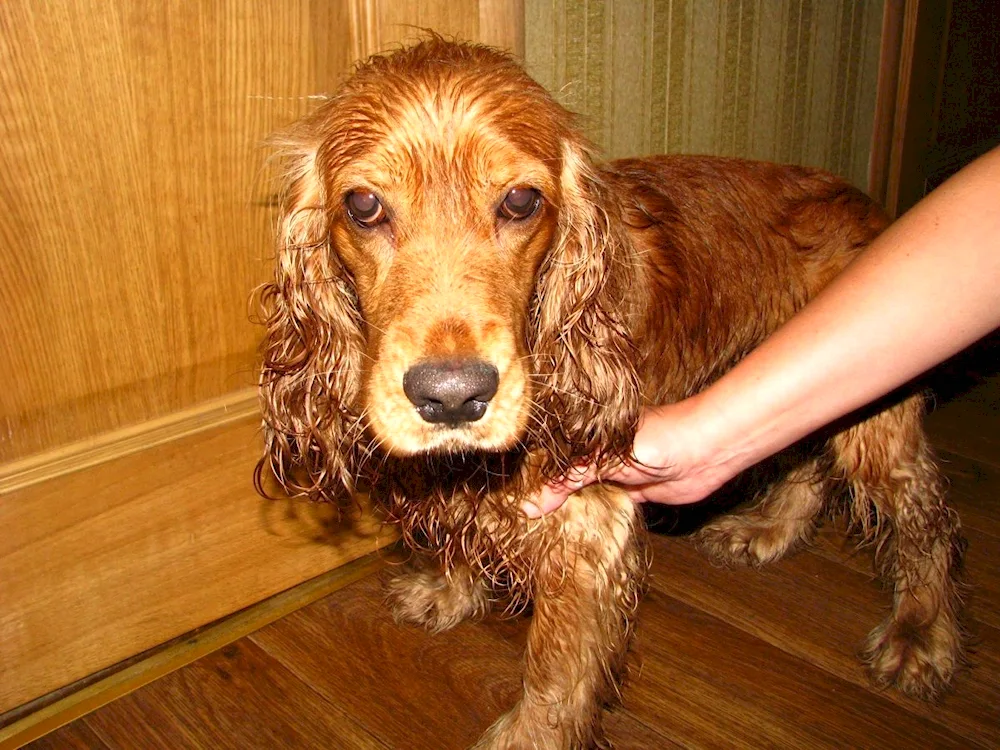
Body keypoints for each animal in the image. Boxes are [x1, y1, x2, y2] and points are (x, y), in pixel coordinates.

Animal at [254, 38, 964, 748]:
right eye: (363, 206)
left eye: (521, 201)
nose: (453, 396)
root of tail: (866, 203)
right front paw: (447, 589)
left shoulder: (586, 525)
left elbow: (555, 670)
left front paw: (531, 735)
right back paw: (768, 529)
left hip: (878, 416)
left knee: (924, 513)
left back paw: (921, 634)